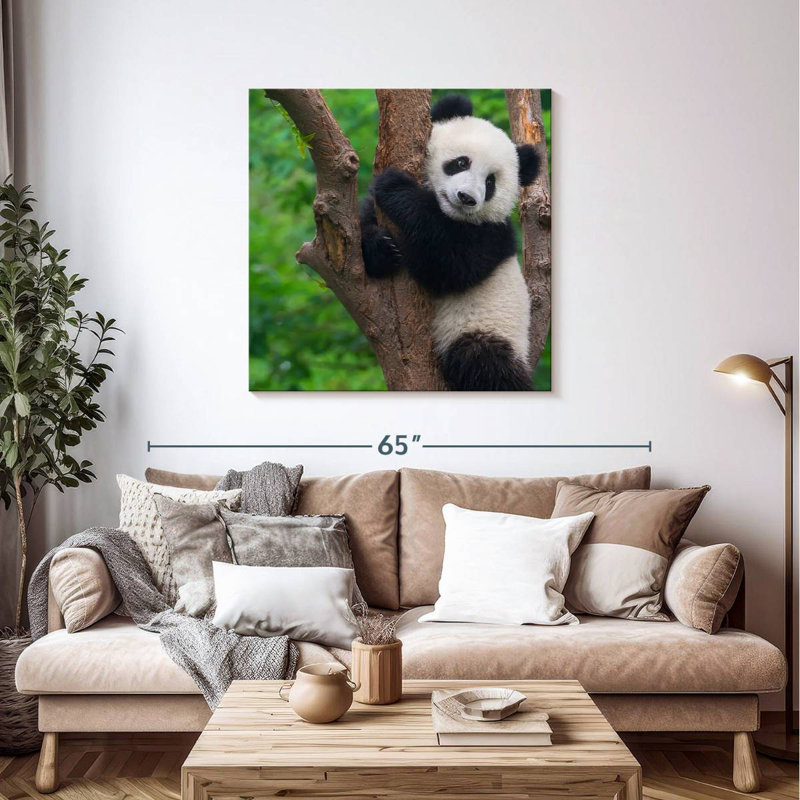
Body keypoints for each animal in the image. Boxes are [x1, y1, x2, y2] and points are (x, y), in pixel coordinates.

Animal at [359, 93, 541, 391]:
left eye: (490, 183)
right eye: (461, 163)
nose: (467, 198)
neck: (449, 214)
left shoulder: (492, 235)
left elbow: (450, 266)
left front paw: (396, 188)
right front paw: (381, 248)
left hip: (487, 329)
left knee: (483, 363)